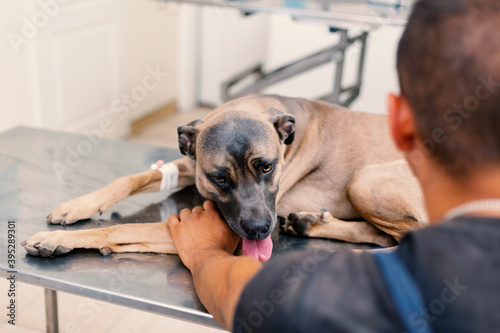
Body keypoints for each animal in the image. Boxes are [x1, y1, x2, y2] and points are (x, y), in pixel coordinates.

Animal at [23, 93, 428, 260]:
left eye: (268, 167)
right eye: (219, 178)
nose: (260, 232)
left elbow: (119, 229)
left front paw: (58, 240)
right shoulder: (190, 166)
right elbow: (128, 179)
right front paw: (78, 205)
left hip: (366, 179)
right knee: (381, 235)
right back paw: (310, 223)